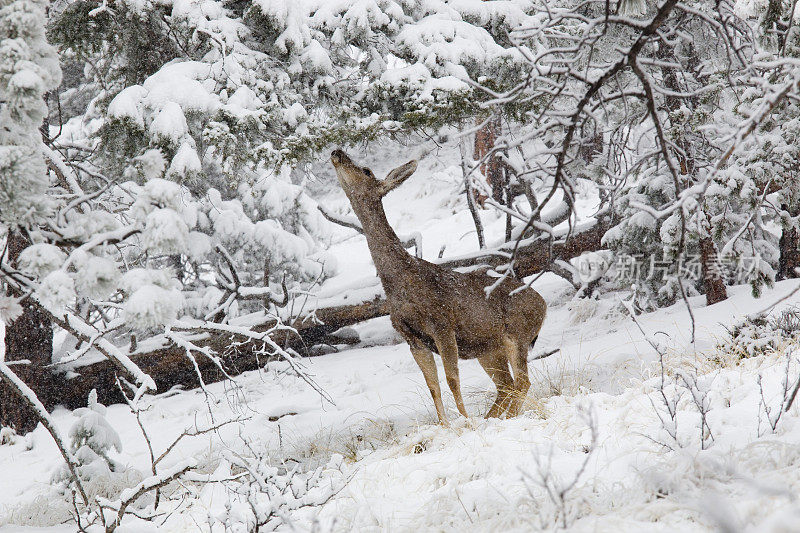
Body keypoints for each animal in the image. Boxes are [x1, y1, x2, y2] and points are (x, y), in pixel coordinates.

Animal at [328, 150, 548, 424]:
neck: (399, 283)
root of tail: (544, 305)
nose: (337, 153)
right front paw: (446, 426)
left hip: (518, 334)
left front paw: (464, 422)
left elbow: (452, 380)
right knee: (506, 385)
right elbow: (433, 387)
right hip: (488, 348)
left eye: (366, 171)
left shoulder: (442, 323)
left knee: (522, 382)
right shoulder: (412, 338)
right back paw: (493, 419)